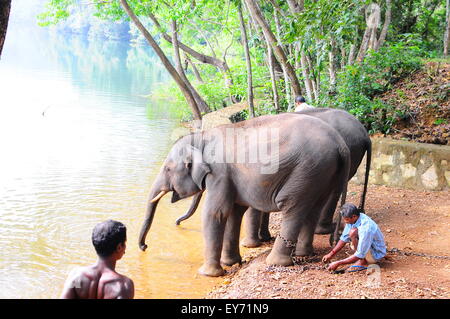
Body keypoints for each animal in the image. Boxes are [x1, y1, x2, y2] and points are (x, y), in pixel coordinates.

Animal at [138, 113, 352, 278]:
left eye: (167, 169)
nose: (144, 247)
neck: (201, 137)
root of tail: (341, 144)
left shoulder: (219, 173)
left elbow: (215, 213)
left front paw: (207, 274)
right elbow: (234, 211)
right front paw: (230, 262)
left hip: (307, 171)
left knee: (292, 207)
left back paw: (276, 262)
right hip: (324, 172)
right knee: (313, 207)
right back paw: (302, 253)